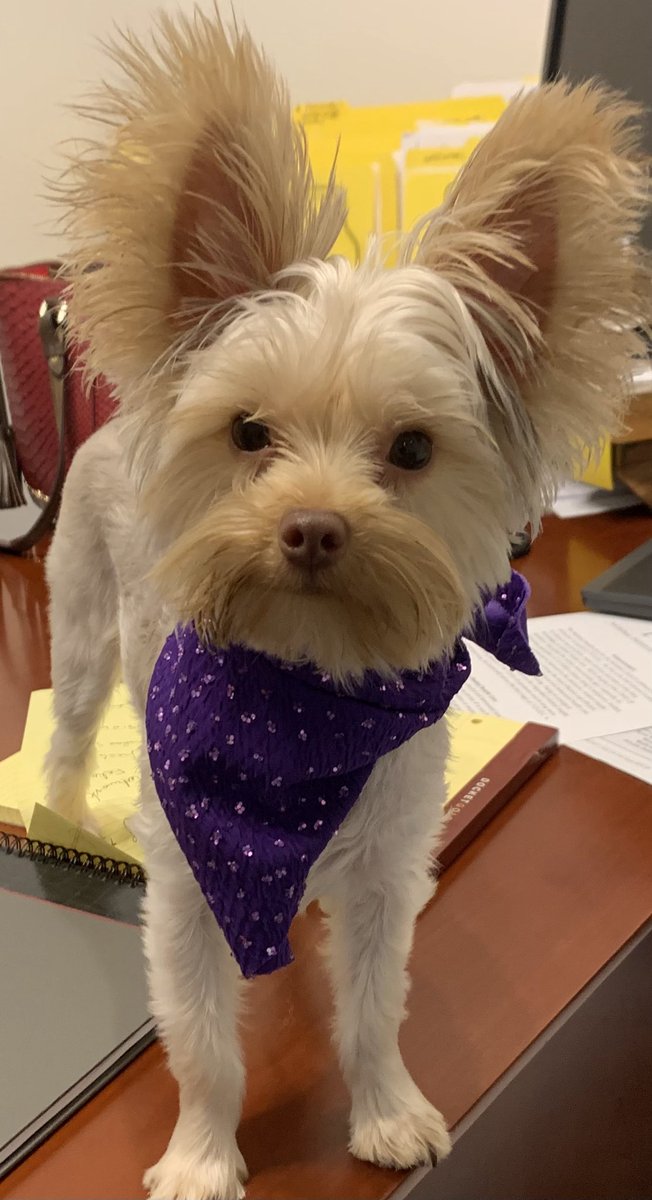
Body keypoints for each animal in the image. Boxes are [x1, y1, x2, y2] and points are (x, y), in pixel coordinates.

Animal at [44, 11, 648, 1200]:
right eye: (247, 433)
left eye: (411, 449)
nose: (315, 526)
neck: (297, 705)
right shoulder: (192, 888)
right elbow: (205, 1042)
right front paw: (200, 1155)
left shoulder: (383, 877)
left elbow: (372, 1012)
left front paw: (385, 1110)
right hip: (86, 639)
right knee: (69, 736)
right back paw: (67, 813)